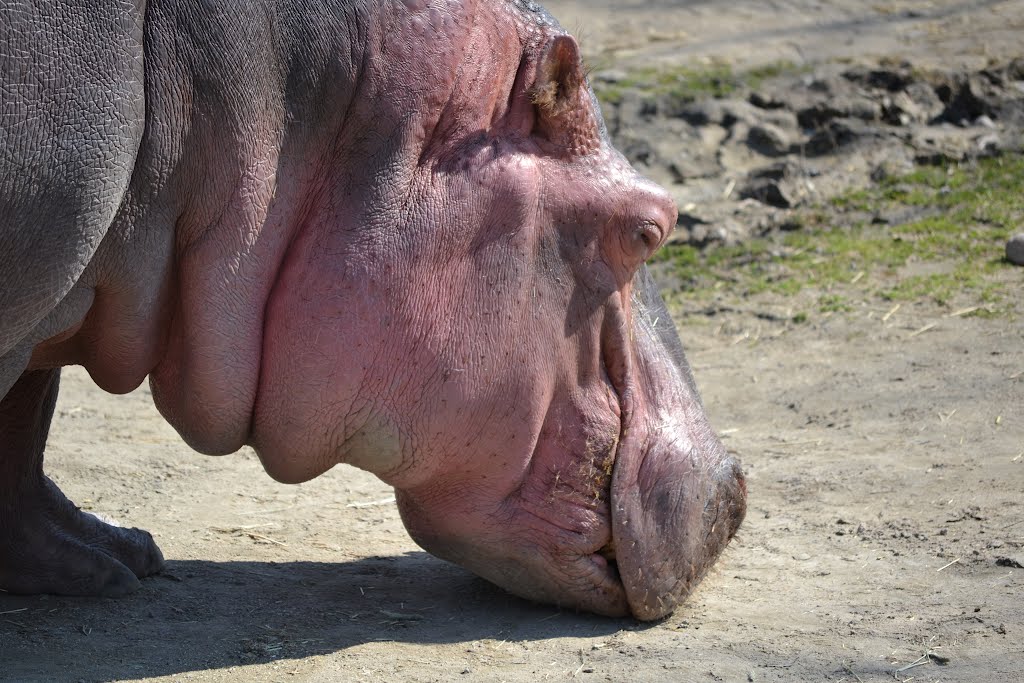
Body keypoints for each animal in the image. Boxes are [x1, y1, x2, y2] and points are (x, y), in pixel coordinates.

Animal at [2, 0, 745, 618]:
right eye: (648, 229)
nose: (735, 486)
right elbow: (22, 413)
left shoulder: (56, 285)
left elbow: (27, 416)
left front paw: (116, 559)